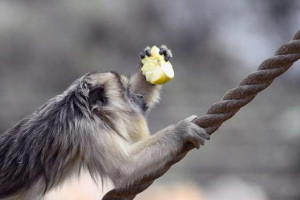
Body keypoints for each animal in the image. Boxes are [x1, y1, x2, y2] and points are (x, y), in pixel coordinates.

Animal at [0, 45, 209, 200]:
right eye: (127, 92)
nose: (140, 97)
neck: (83, 109)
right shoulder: (89, 130)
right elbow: (124, 168)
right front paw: (181, 130)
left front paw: (150, 67)